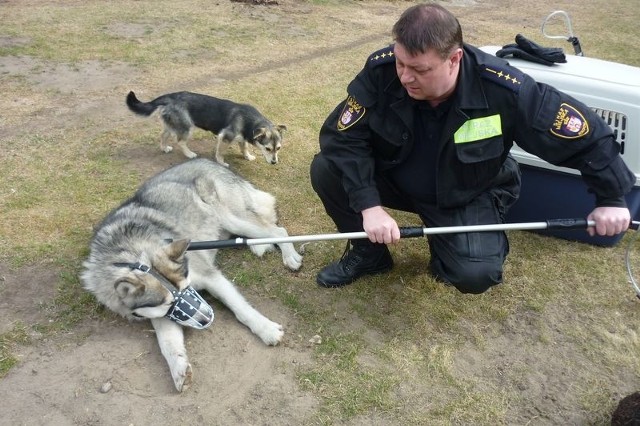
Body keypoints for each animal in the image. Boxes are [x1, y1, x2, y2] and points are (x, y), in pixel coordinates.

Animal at [81, 158, 304, 392]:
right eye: (169, 303)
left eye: (187, 289)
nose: (207, 317)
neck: (130, 256)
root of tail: (207, 160)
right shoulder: (158, 314)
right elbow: (168, 343)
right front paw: (179, 369)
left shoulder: (210, 276)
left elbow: (242, 310)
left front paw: (267, 330)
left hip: (233, 218)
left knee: (278, 230)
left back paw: (289, 256)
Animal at [126, 90, 286, 166]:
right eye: (267, 149)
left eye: (278, 148)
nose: (274, 163)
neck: (250, 120)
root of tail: (169, 97)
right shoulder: (225, 137)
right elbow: (220, 153)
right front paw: (221, 163)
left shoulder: (242, 137)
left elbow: (244, 147)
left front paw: (248, 156)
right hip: (187, 127)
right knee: (180, 141)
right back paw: (190, 154)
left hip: (173, 124)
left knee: (163, 135)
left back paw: (164, 148)